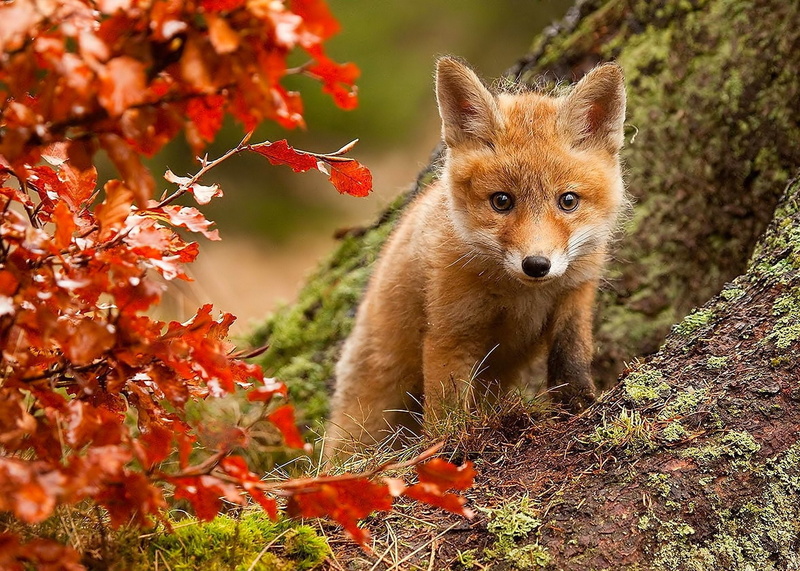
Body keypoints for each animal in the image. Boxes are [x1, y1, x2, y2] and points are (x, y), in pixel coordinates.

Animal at [326, 57, 627, 457]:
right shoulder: (451, 331)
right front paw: (447, 449)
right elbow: (446, 408)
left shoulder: (575, 297)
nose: (536, 265)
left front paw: (580, 406)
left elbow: (571, 359)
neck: (522, 296)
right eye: (501, 201)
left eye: (568, 201)